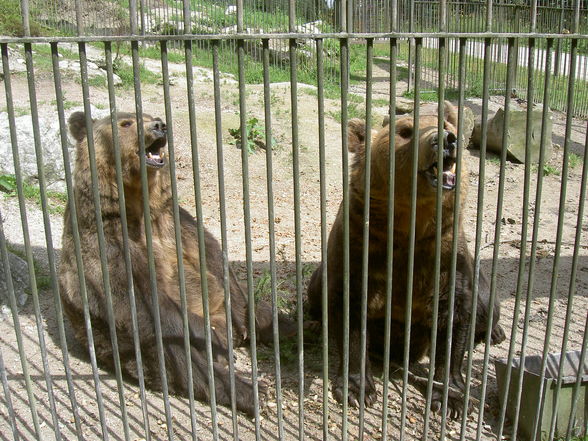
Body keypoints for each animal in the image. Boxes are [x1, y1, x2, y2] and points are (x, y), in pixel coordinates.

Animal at [58, 111, 284, 414]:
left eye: (149, 116)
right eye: (126, 123)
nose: (159, 125)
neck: (138, 206)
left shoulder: (173, 219)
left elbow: (213, 257)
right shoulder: (107, 243)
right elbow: (138, 301)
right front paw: (210, 338)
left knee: (262, 312)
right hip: (132, 348)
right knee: (187, 362)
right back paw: (253, 390)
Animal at [308, 103, 506, 416]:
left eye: (447, 125)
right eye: (405, 131)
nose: (445, 140)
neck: (409, 225)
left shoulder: (444, 257)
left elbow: (456, 316)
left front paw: (451, 398)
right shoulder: (360, 249)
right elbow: (350, 312)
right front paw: (356, 389)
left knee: (487, 302)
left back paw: (494, 332)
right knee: (316, 290)